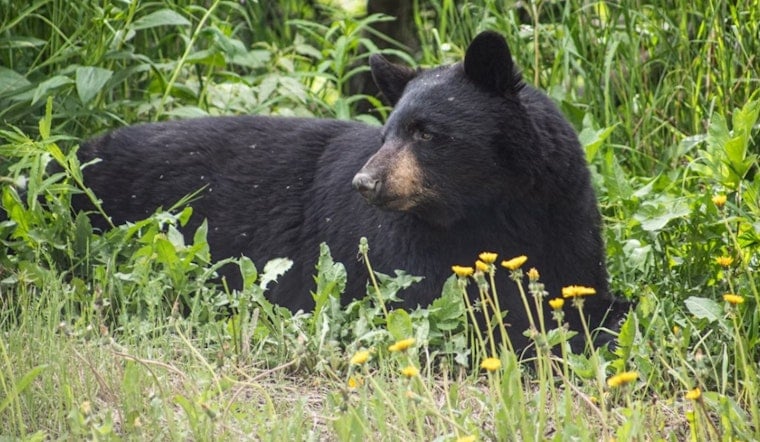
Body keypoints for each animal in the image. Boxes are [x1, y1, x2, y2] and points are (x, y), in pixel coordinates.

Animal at [74, 31, 628, 352]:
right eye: (388, 133)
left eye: (426, 133)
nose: (365, 182)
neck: (492, 211)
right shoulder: (401, 253)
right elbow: (448, 308)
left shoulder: (563, 216)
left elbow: (585, 291)